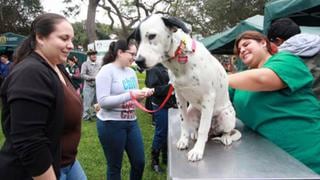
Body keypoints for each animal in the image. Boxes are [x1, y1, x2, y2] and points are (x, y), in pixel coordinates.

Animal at [129, 13, 241, 160]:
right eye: (137, 40)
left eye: (152, 36)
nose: (138, 61)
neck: (180, 59)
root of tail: (213, 131)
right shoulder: (179, 96)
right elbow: (184, 123)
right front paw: (184, 140)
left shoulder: (208, 97)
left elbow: (203, 129)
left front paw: (198, 150)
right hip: (191, 111)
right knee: (197, 127)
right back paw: (194, 134)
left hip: (226, 115)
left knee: (222, 131)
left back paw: (225, 137)